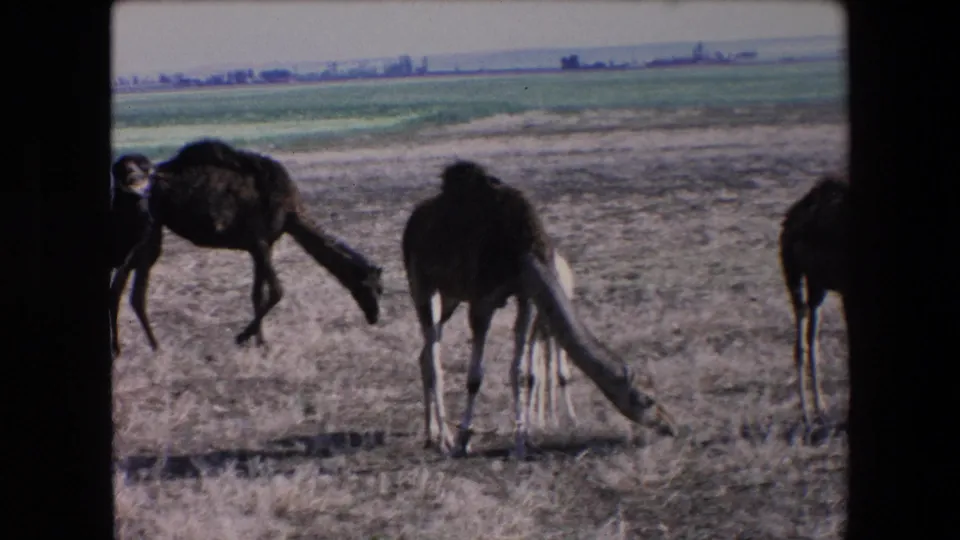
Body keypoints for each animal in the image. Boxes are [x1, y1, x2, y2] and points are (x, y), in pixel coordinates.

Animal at [109, 138, 384, 357]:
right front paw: (242, 337)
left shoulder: (260, 246)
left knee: (125, 289)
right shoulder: (259, 241)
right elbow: (277, 291)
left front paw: (261, 342)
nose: (375, 317)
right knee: (129, 290)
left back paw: (130, 348)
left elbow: (257, 294)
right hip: (147, 230)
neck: (290, 213)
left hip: (148, 233)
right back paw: (146, 348)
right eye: (372, 287)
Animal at [402, 160, 679, 459]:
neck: (523, 252)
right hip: (422, 286)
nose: (671, 426)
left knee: (425, 353)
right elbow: (475, 376)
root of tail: (411, 223)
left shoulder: (524, 297)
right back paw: (444, 439)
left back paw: (431, 435)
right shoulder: (482, 300)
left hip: (450, 297)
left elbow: (520, 371)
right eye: (647, 399)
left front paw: (522, 442)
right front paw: (464, 440)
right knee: (432, 358)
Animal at [778, 171, 850, 426]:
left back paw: (816, 409)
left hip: (815, 283)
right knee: (803, 338)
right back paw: (810, 412)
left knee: (807, 338)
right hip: (797, 275)